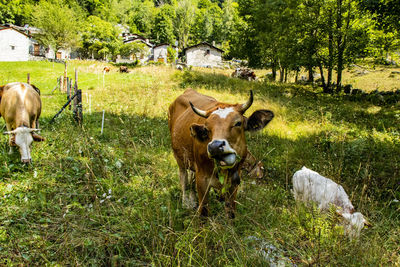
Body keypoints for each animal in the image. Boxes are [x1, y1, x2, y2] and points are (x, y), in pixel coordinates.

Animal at [167, 89, 274, 219]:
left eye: (238, 123)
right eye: (206, 128)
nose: (215, 147)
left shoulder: (235, 181)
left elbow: (231, 212)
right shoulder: (202, 179)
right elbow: (203, 212)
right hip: (178, 157)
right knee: (184, 179)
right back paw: (185, 202)